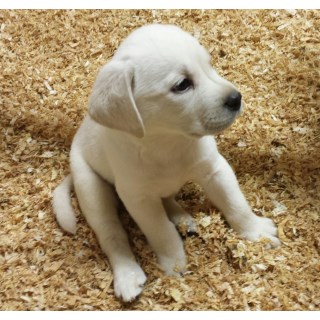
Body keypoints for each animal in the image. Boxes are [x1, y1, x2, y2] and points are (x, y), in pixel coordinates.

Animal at [53, 23, 280, 302]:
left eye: (209, 64)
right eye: (182, 85)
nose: (236, 99)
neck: (167, 142)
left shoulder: (215, 169)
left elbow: (236, 204)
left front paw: (256, 231)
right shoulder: (138, 198)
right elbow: (161, 232)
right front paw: (174, 263)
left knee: (167, 199)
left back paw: (182, 218)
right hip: (91, 189)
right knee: (112, 235)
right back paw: (128, 276)